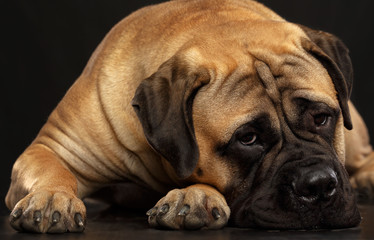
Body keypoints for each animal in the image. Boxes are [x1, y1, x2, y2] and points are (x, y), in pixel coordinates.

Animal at [4, 0, 374, 233]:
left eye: (322, 117)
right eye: (248, 138)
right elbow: (51, 167)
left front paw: (191, 195)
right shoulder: (54, 146)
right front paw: (52, 197)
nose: (318, 184)